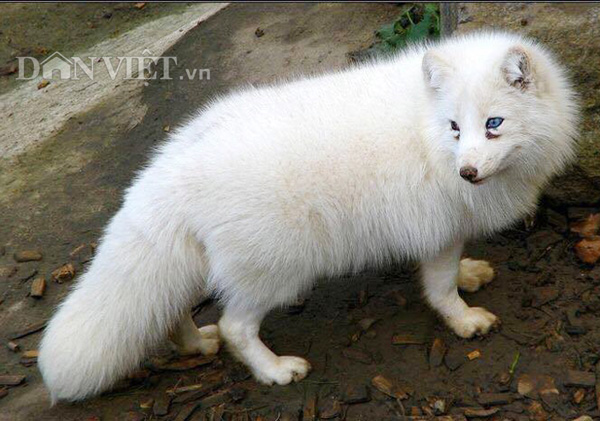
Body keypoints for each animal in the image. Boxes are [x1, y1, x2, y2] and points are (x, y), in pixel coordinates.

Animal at [39, 32, 580, 400]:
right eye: (454, 127)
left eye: (493, 124)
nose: (467, 172)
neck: (425, 129)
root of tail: (172, 165)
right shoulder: (439, 230)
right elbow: (440, 288)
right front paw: (464, 320)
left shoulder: (444, 228)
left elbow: (449, 274)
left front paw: (470, 275)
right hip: (278, 271)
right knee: (235, 327)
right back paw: (274, 370)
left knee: (172, 312)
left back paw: (194, 346)